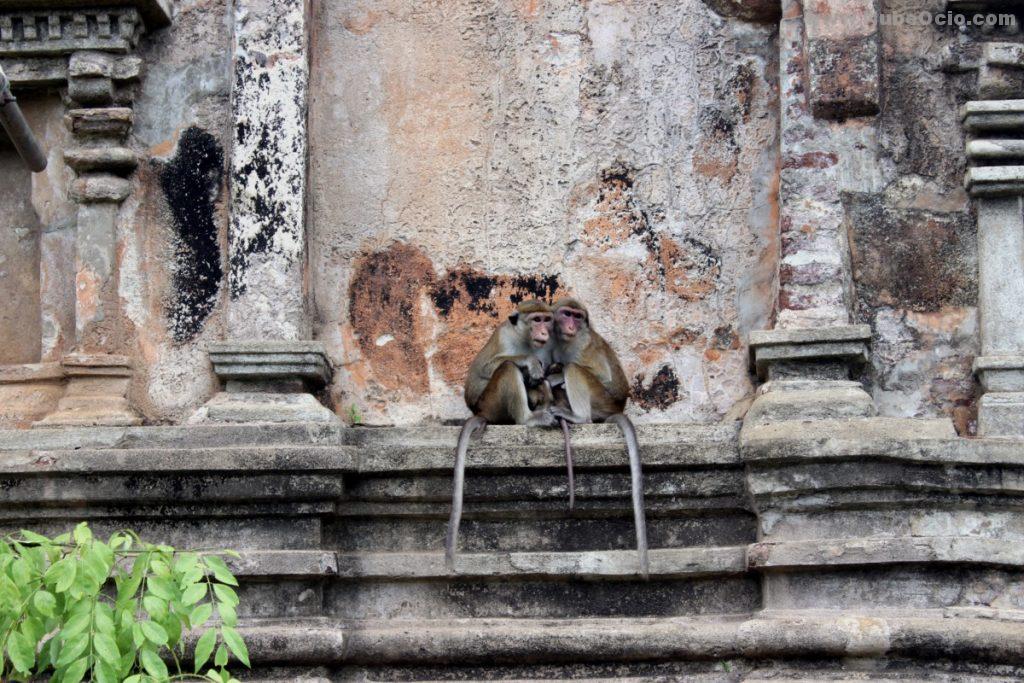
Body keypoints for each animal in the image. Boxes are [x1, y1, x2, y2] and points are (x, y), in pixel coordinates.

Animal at [446, 299, 557, 573]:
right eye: (536, 319)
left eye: (547, 319)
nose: (544, 331)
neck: (524, 338)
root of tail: (481, 412)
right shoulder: (504, 337)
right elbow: (484, 370)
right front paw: (529, 362)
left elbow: (543, 376)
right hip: (492, 403)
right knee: (508, 367)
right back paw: (529, 418)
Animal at [548, 294, 651, 577]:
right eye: (566, 314)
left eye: (577, 316)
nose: (571, 325)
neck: (566, 341)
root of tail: (616, 409)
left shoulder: (583, 344)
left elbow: (596, 373)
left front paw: (556, 375)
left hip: (601, 400)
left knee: (575, 369)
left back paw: (577, 415)